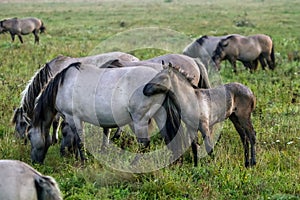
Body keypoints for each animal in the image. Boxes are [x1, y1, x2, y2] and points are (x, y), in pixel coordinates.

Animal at [28, 62, 182, 164]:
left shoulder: (73, 118)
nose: (35, 162)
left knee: (144, 144)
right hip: (160, 115)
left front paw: (84, 162)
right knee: (169, 137)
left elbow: (80, 141)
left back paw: (133, 164)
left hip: (139, 120)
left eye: (29, 136)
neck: (62, 86)